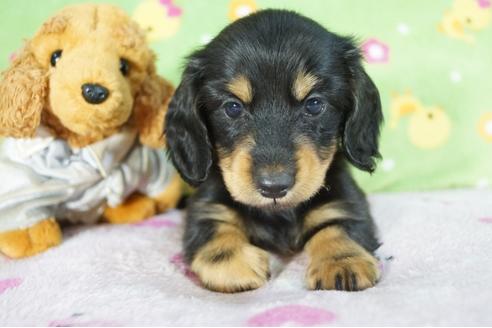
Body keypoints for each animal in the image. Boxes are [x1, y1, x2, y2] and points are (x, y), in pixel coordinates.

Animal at [166, 9, 384, 292]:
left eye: (314, 104)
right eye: (232, 107)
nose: (274, 187)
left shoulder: (346, 201)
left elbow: (338, 226)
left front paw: (342, 260)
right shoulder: (206, 207)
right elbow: (213, 229)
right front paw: (233, 263)